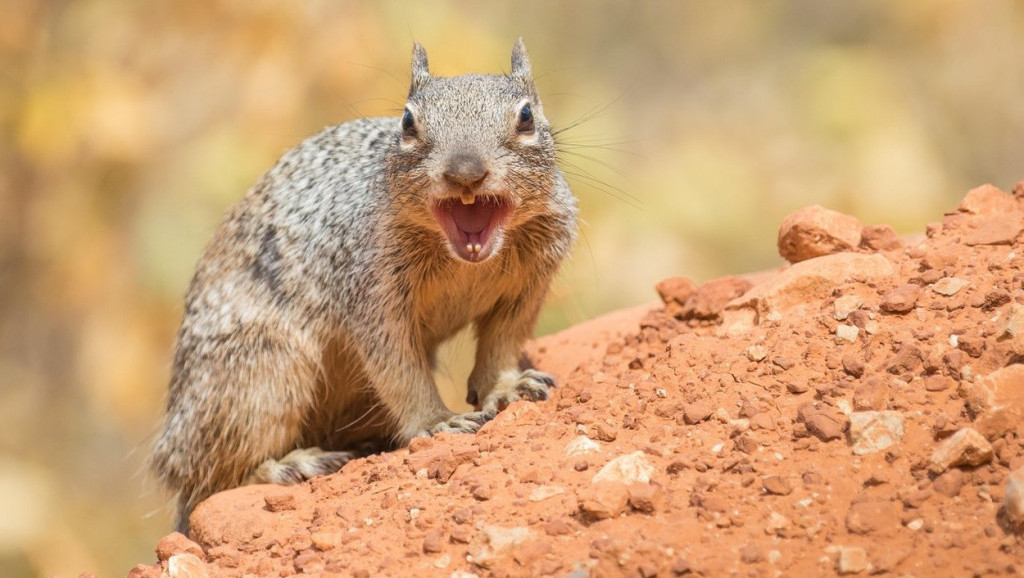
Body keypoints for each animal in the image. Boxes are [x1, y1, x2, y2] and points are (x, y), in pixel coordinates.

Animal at [148, 38, 577, 528]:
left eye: (526, 116)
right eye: (408, 122)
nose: (465, 172)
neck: (464, 261)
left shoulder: (526, 289)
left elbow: (501, 344)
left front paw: (507, 387)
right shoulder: (372, 294)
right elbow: (397, 368)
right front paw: (436, 421)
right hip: (263, 379)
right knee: (216, 479)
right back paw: (294, 464)